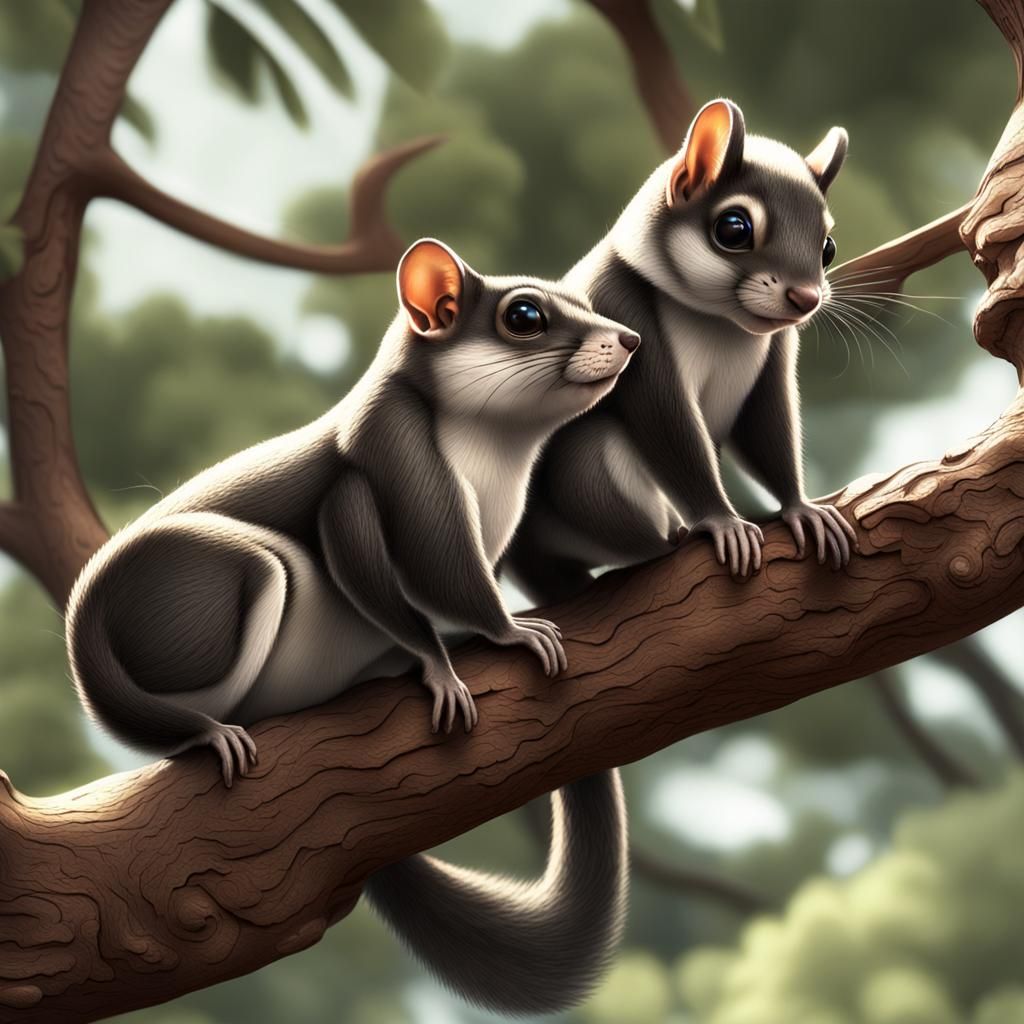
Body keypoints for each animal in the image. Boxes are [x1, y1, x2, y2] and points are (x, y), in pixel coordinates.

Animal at [65, 238, 639, 1015]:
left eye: (578, 297)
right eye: (525, 315)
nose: (631, 340)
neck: (496, 454)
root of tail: (86, 618)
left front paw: (475, 636)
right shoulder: (389, 452)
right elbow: (391, 553)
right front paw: (482, 647)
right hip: (212, 583)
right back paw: (211, 730)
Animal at [507, 98, 858, 603]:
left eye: (827, 247)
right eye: (734, 228)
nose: (806, 298)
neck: (719, 321)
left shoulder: (775, 355)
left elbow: (770, 424)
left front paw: (800, 507)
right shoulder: (619, 309)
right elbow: (666, 420)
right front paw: (723, 521)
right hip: (588, 482)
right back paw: (671, 540)